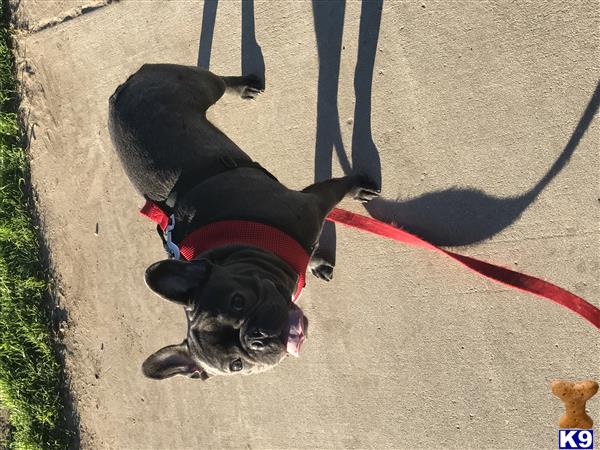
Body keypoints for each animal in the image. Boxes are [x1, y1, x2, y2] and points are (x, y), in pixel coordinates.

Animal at [108, 64, 380, 380]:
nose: (255, 337)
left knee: (220, 82)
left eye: (238, 301)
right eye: (236, 365)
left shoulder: (312, 203)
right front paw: (317, 262)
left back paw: (244, 86)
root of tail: (120, 91)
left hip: (202, 87)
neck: (244, 249)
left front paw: (359, 188)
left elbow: (343, 186)